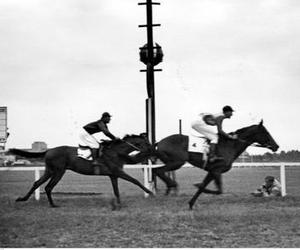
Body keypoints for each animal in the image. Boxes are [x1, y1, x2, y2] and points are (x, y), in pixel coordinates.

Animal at [8, 135, 155, 209]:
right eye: (146, 143)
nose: (153, 148)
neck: (116, 152)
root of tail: (49, 150)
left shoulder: (113, 175)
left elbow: (116, 190)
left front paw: (118, 204)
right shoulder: (117, 172)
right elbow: (135, 181)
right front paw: (150, 192)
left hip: (49, 171)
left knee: (37, 183)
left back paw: (22, 199)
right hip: (59, 171)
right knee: (48, 187)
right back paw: (53, 204)